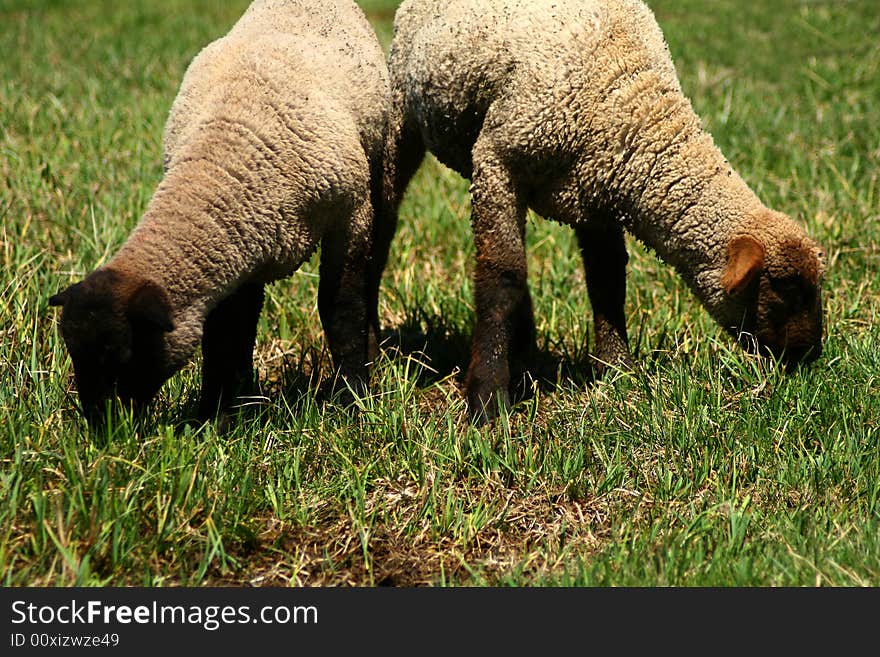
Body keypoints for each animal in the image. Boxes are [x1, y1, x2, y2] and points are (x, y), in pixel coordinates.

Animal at [49, 0, 388, 426]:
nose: (101, 427)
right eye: (74, 354)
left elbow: (341, 309)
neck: (222, 159)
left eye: (122, 355)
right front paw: (216, 413)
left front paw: (353, 399)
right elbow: (226, 333)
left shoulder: (350, 214)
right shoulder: (239, 247)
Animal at [372, 0, 824, 420]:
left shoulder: (598, 193)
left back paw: (526, 352)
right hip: (404, 110)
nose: (811, 355)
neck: (625, 94)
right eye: (785, 287)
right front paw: (487, 400)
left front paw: (619, 372)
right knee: (386, 222)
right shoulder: (498, 160)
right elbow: (501, 278)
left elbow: (607, 282)